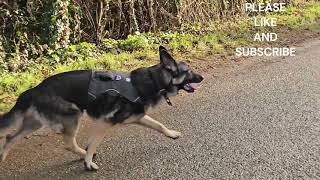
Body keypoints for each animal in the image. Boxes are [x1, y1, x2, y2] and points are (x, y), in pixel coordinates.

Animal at [0, 45, 204, 171]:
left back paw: (2, 157)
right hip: (73, 116)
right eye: (188, 71)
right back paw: (82, 154)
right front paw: (88, 162)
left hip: (35, 123)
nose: (202, 77)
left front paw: (171, 134)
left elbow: (159, 125)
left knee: (10, 137)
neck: (155, 82)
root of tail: (34, 89)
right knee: (68, 143)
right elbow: (94, 143)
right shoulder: (105, 123)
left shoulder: (137, 117)